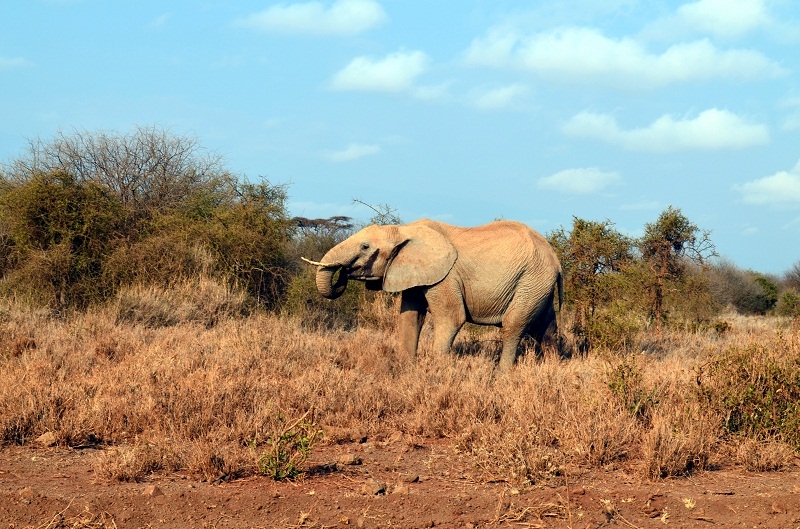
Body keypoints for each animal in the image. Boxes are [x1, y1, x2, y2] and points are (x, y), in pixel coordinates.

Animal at [304, 217, 564, 370]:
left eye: (365, 247)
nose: (344, 273)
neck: (403, 230)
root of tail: (556, 260)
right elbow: (410, 317)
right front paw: (406, 369)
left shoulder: (445, 276)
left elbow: (452, 318)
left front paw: (436, 372)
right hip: (537, 284)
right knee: (545, 327)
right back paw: (554, 368)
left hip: (532, 280)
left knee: (513, 326)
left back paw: (501, 374)